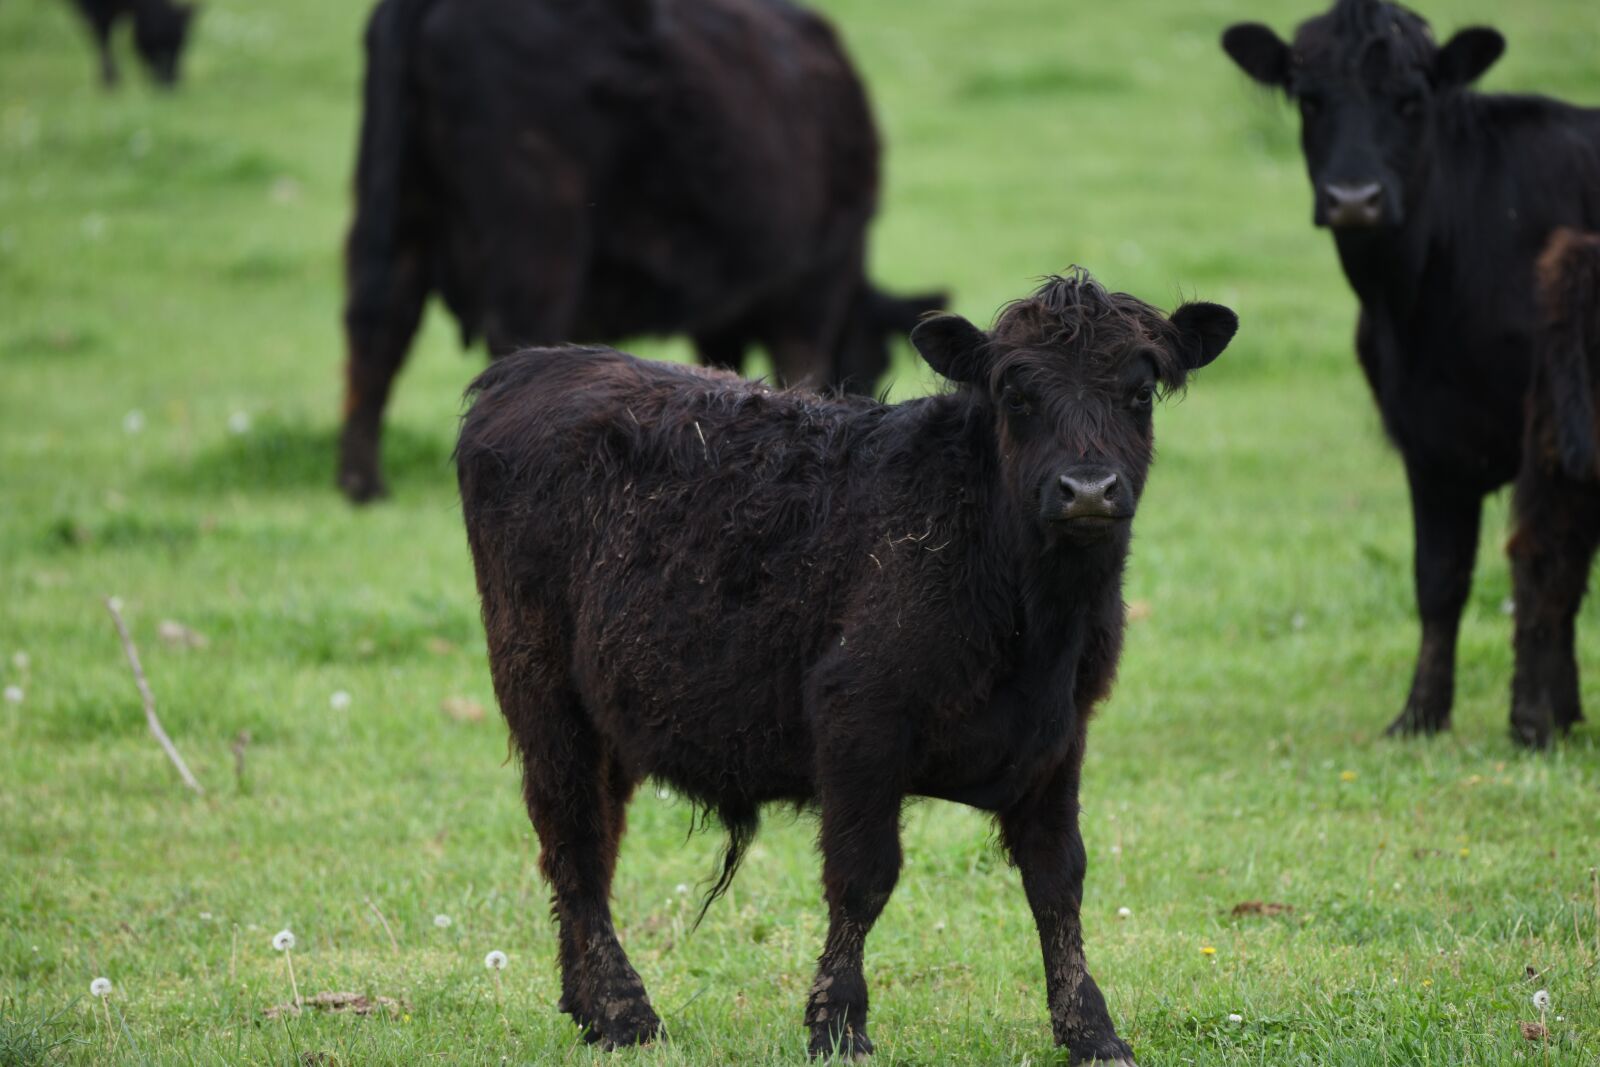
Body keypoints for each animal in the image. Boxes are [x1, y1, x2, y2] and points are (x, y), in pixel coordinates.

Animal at [340, 0, 946, 503]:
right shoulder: (815, 277)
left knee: (376, 335)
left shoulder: (726, 312)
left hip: (398, 215)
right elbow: (802, 368)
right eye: (877, 362)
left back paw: (364, 485)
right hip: (537, 236)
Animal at [455, 270, 1238, 1062]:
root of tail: (536, 364)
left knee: (590, 845)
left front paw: (1091, 1029)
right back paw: (623, 1011)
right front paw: (838, 1022)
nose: (1087, 489)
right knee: (574, 842)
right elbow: (863, 876)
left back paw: (590, 1007)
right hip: (544, 696)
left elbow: (1058, 880)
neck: (1031, 616)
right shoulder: (858, 720)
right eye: (1017, 394)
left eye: (1139, 391)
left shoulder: (1059, 736)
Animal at [1221, 0, 1600, 744]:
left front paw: (1536, 720)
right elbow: (1439, 577)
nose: (1353, 198)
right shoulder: (1427, 439)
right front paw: (1421, 714)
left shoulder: (1553, 421)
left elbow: (1543, 555)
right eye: (1309, 99)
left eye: (1410, 101)